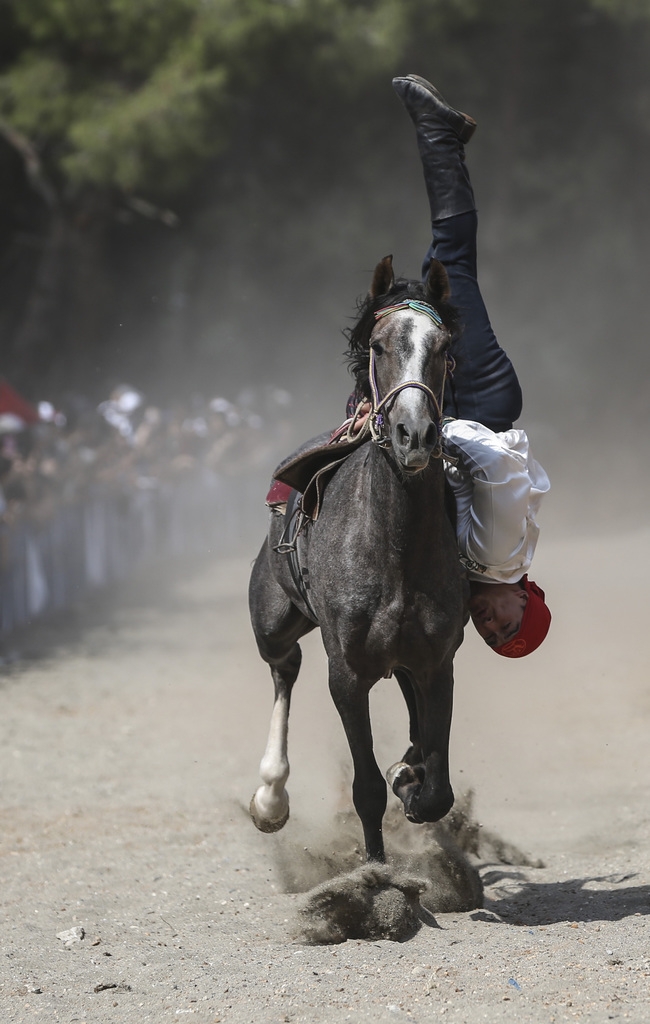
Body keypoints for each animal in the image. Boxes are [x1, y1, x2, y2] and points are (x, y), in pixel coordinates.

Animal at [246, 256, 464, 864]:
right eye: (379, 345)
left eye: (443, 346)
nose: (414, 433)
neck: (395, 547)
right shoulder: (346, 670)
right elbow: (365, 787)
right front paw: (375, 868)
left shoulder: (437, 659)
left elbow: (436, 786)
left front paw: (412, 780)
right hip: (271, 618)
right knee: (284, 668)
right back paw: (270, 795)